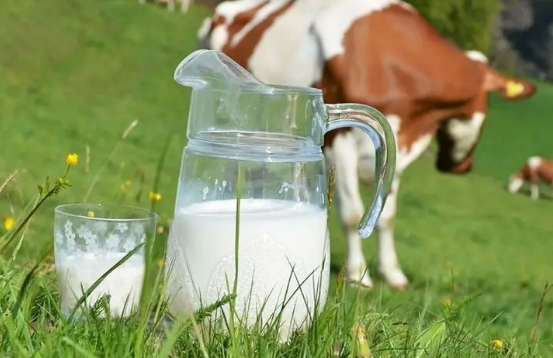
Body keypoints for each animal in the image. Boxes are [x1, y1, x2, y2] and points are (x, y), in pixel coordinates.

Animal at [196, 0, 536, 290]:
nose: (464, 166)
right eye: (486, 104)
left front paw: (393, 273)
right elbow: (352, 213)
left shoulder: (396, 146)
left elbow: (386, 215)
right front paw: (358, 275)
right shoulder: (340, 143)